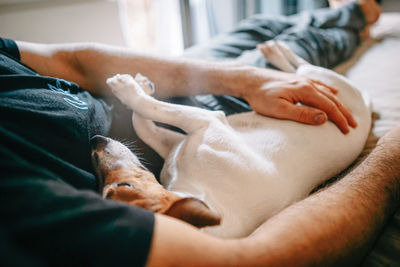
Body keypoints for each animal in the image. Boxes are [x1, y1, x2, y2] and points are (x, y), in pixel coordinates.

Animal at [92, 41, 370, 239]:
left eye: (124, 186)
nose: (94, 141)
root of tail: (367, 105)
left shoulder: (205, 121)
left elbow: (149, 112)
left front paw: (129, 88)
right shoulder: (179, 140)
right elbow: (145, 123)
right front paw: (139, 87)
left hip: (322, 80)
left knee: (301, 68)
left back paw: (276, 51)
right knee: (296, 71)